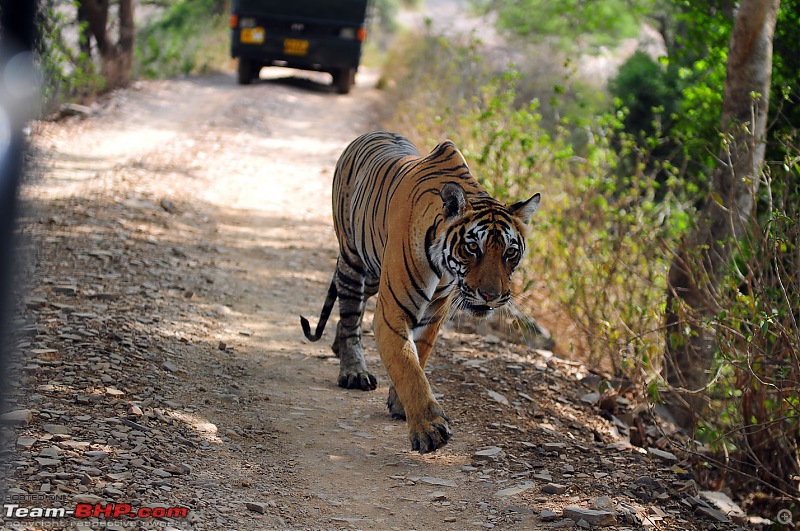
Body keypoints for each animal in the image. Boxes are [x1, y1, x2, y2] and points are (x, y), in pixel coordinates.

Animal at [302, 130, 544, 454]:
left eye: (510, 253)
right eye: (472, 248)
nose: (491, 295)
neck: (443, 268)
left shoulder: (432, 315)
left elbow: (419, 355)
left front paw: (399, 403)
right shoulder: (392, 313)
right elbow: (408, 366)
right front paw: (428, 429)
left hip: (374, 274)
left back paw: (337, 348)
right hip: (354, 261)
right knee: (351, 313)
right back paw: (353, 370)